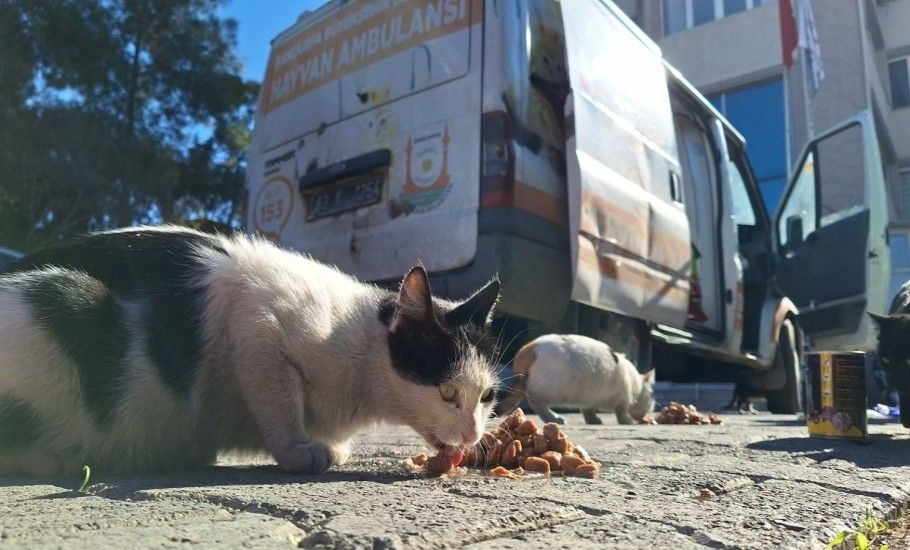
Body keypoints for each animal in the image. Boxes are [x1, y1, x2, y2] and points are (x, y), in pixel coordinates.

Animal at [0, 226, 502, 476]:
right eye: (446, 392)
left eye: (487, 397)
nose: (473, 434)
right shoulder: (256, 328)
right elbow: (279, 402)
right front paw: (299, 448)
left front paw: (331, 446)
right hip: (69, 296)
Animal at [496, 332, 652, 426]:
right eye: (651, 395)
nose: (651, 408)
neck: (637, 384)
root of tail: (529, 348)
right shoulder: (623, 397)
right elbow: (621, 412)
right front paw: (628, 421)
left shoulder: (589, 400)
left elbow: (588, 411)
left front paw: (593, 420)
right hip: (548, 389)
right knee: (536, 403)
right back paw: (554, 418)